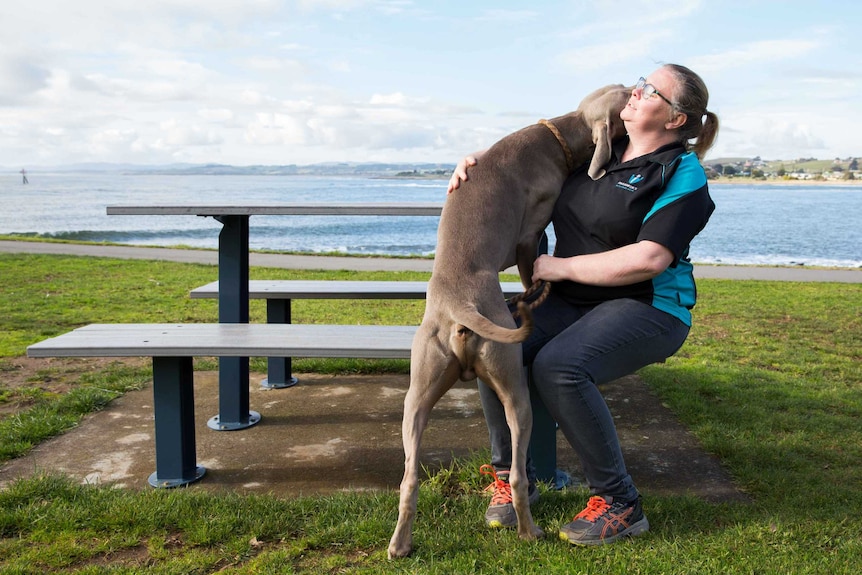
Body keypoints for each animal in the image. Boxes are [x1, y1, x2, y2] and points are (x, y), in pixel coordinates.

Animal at [390, 83, 628, 556]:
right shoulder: (530, 231)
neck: (559, 136)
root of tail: (459, 307)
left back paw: (400, 545)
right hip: (515, 389)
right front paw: (537, 287)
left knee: (409, 480)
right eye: (632, 94)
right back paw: (528, 531)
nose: (641, 86)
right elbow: (534, 262)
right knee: (518, 474)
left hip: (418, 393)